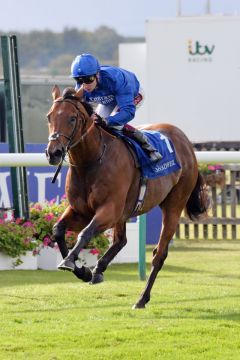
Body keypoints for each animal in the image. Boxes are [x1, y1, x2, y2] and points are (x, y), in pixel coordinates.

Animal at [45, 86, 208, 308]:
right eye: (49, 116)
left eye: (72, 118)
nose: (53, 153)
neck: (92, 160)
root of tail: (187, 144)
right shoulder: (81, 211)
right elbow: (58, 230)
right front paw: (83, 271)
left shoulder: (109, 209)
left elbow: (85, 233)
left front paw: (71, 261)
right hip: (125, 212)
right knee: (121, 240)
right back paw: (99, 270)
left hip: (174, 205)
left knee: (159, 254)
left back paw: (141, 298)